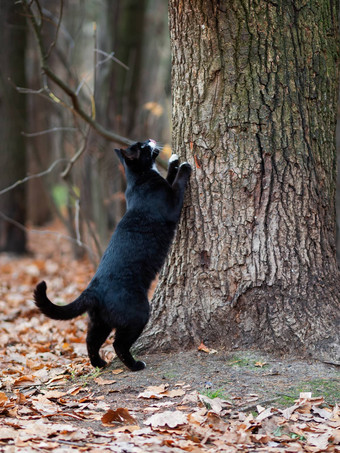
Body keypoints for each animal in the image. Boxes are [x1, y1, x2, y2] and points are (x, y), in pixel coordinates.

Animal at [33, 139, 191, 370]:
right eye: (142, 146)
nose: (150, 140)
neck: (138, 180)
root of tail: (92, 290)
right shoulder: (171, 204)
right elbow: (178, 184)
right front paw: (185, 166)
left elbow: (170, 177)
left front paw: (173, 160)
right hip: (138, 313)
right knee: (119, 344)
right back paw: (135, 365)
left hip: (100, 321)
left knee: (91, 340)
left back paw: (100, 364)